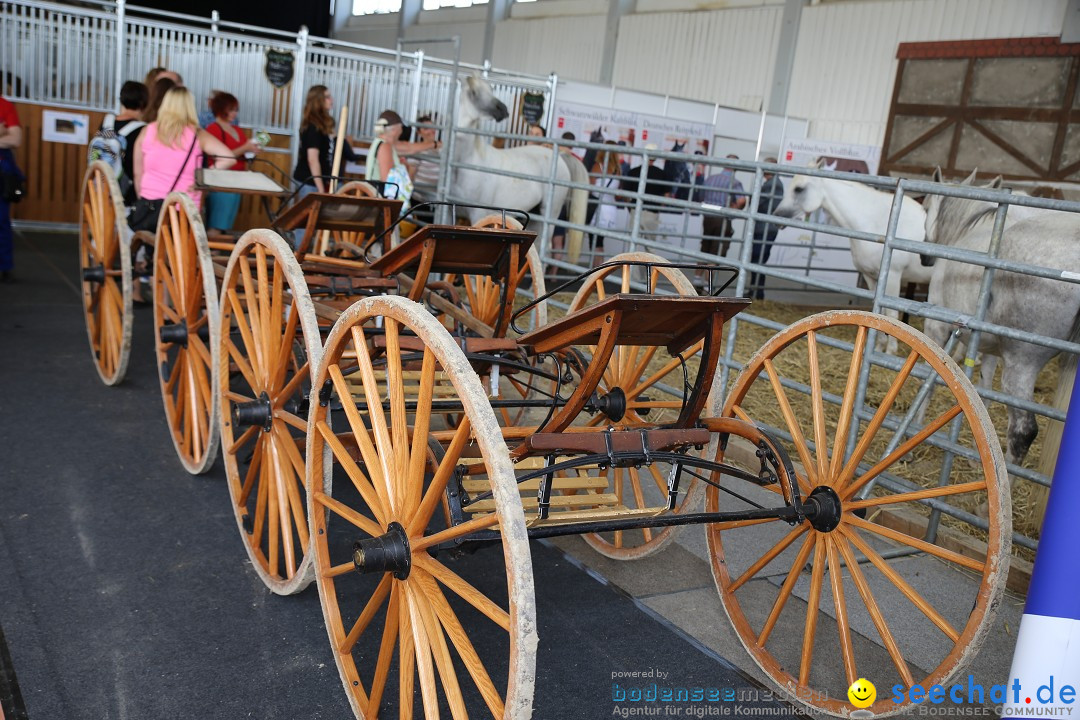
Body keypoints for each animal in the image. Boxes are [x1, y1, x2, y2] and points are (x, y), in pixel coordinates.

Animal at [451, 73, 587, 263]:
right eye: (473, 92)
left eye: (490, 89)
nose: (502, 109)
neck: (469, 161)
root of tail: (560, 157)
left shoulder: (479, 215)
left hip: (549, 213)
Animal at [773, 162, 933, 354]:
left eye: (798, 188)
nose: (778, 215)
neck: (879, 221)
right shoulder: (872, 277)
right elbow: (881, 313)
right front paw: (878, 348)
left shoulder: (893, 276)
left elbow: (892, 313)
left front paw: (890, 351)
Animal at [920, 171, 1080, 470]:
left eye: (924, 207)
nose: (924, 258)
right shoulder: (989, 350)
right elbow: (982, 394)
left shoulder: (937, 329)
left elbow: (929, 378)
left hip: (1022, 365)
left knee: (1023, 430)